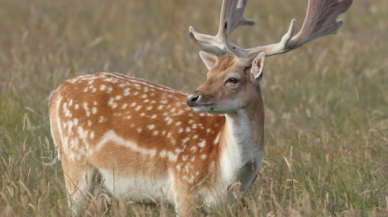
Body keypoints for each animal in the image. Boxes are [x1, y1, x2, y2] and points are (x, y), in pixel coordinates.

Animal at [47, 0, 352, 214]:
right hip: (75, 166)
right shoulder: (184, 187)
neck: (227, 172)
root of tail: (55, 94)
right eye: (209, 74)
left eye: (232, 79)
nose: (193, 98)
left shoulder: (229, 203)